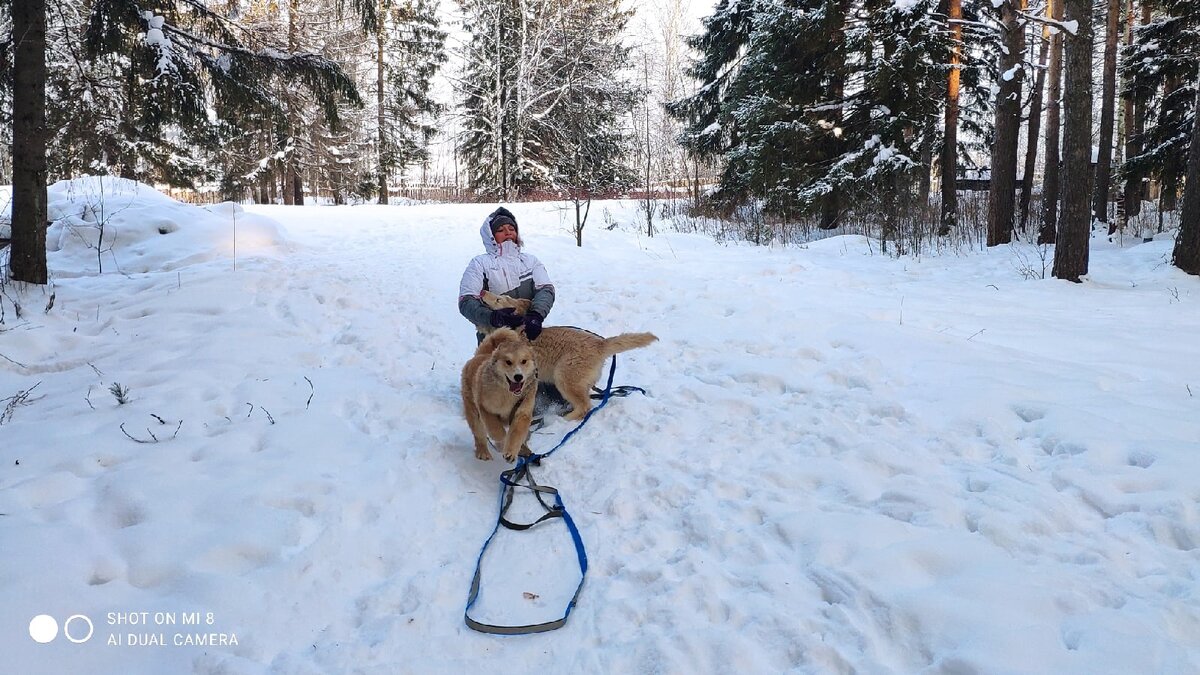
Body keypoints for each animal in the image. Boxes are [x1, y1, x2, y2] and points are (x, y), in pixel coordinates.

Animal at [458, 326, 540, 461]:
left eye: (524, 361)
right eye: (508, 362)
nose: (518, 376)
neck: (507, 393)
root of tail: (481, 355)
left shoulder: (522, 411)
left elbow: (517, 433)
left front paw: (511, 452)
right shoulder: (485, 408)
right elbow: (496, 430)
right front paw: (502, 442)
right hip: (473, 412)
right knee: (479, 434)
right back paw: (483, 452)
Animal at [477, 290, 657, 420]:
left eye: (499, 299)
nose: (482, 291)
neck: (516, 328)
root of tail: (600, 344)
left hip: (563, 378)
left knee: (585, 406)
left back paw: (564, 420)